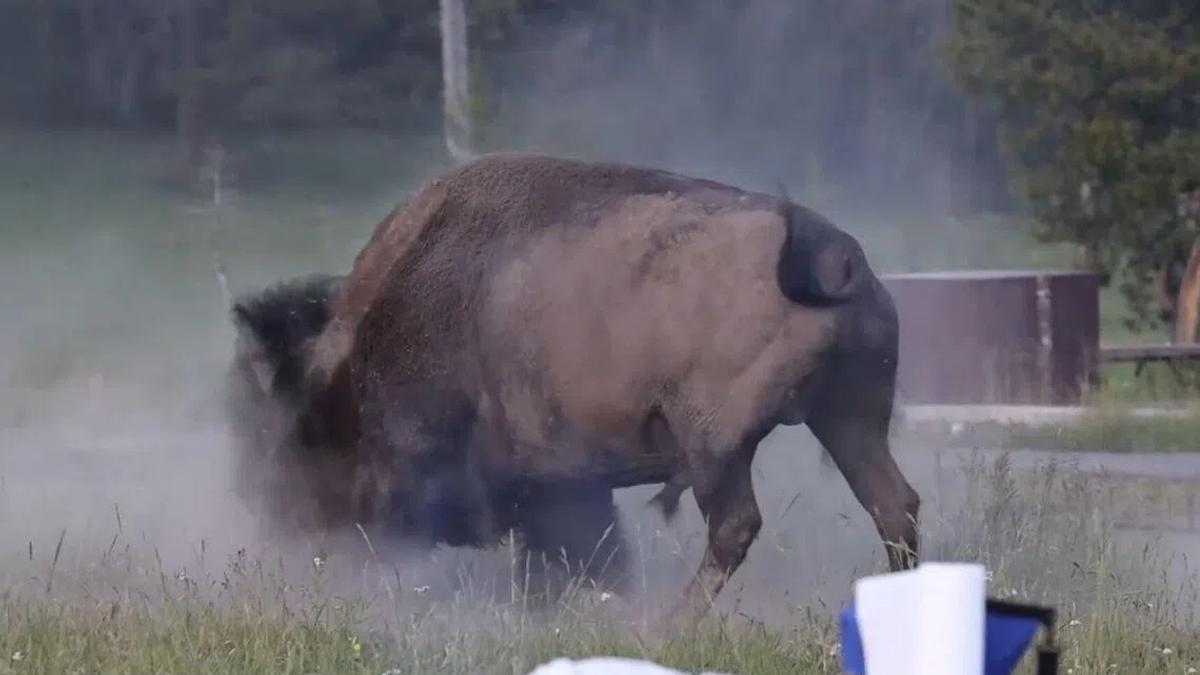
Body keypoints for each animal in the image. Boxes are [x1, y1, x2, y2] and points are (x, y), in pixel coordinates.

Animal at [225, 152, 920, 620]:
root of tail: (825, 249)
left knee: (735, 526)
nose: (281, 522)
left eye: (286, 429)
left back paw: (668, 626)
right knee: (894, 505)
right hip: (849, 419)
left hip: (717, 446)